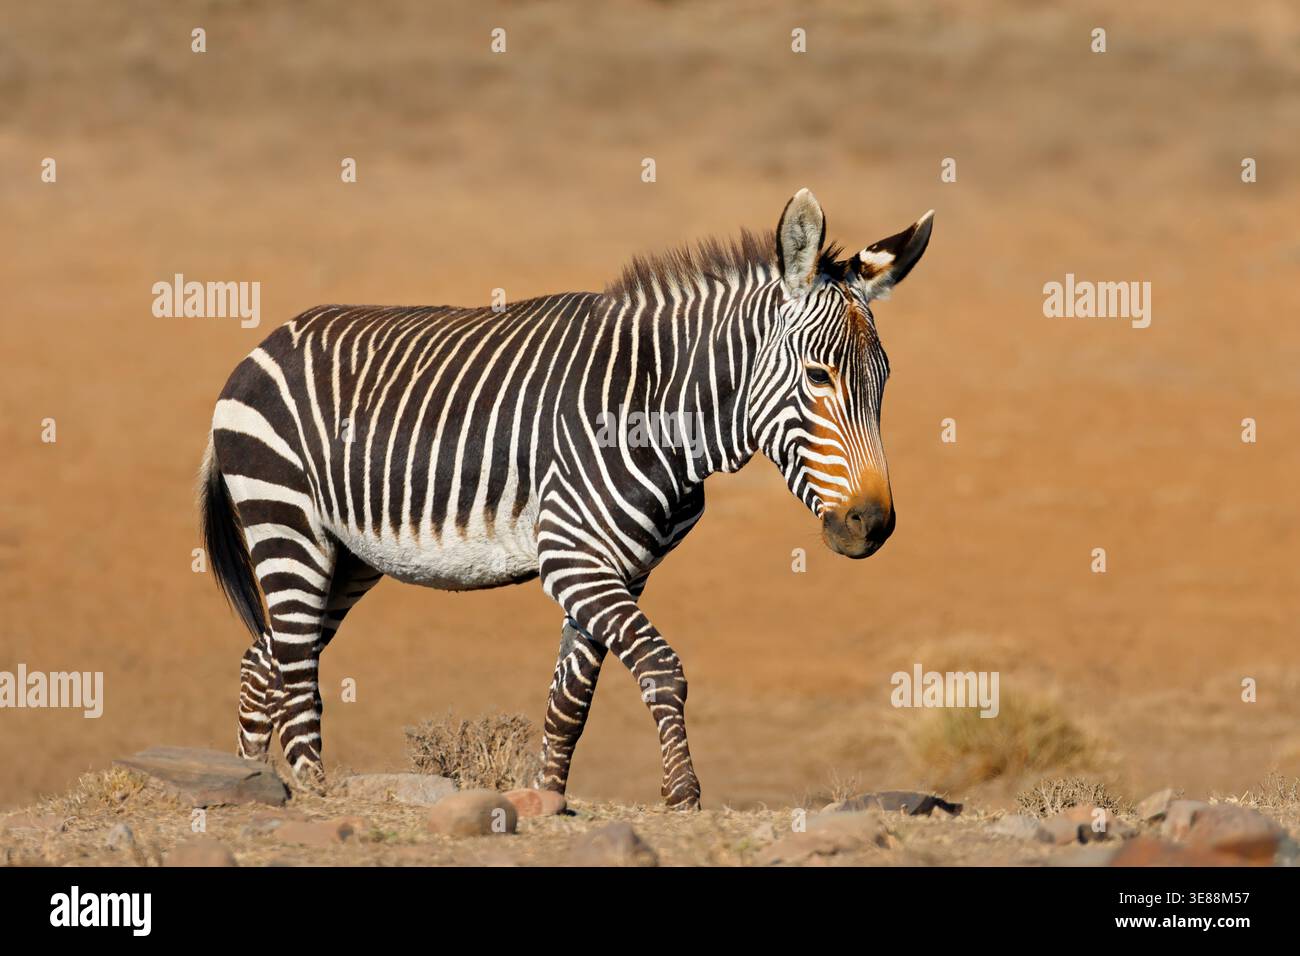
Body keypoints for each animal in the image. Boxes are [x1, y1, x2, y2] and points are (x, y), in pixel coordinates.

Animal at [199, 188, 933, 809]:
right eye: (818, 375)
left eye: (884, 379)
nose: (872, 524)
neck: (658, 409)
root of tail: (260, 347)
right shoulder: (573, 558)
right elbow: (663, 668)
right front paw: (683, 795)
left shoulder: (620, 569)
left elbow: (570, 701)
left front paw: (548, 798)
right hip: (286, 522)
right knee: (295, 666)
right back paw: (310, 790)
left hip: (347, 555)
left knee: (263, 658)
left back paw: (252, 780)